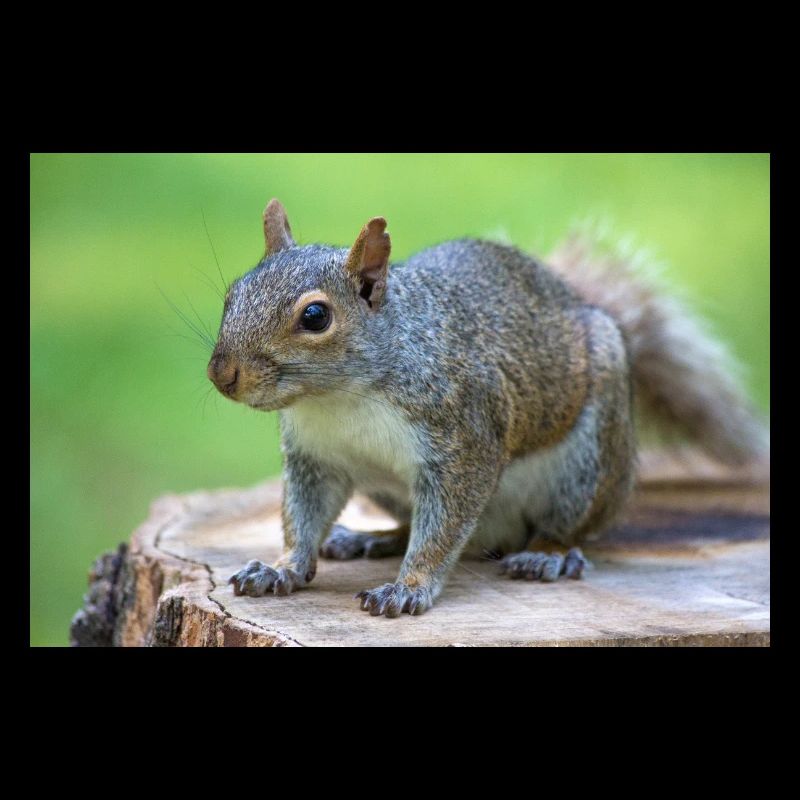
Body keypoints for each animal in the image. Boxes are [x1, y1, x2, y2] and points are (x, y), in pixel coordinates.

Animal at [208, 199, 768, 618]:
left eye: (316, 316)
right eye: (234, 293)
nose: (221, 374)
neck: (338, 399)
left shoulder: (463, 438)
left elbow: (443, 527)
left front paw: (409, 588)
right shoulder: (316, 457)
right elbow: (303, 516)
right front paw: (281, 567)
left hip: (590, 462)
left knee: (566, 526)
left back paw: (546, 556)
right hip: (388, 489)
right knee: (414, 523)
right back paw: (372, 539)